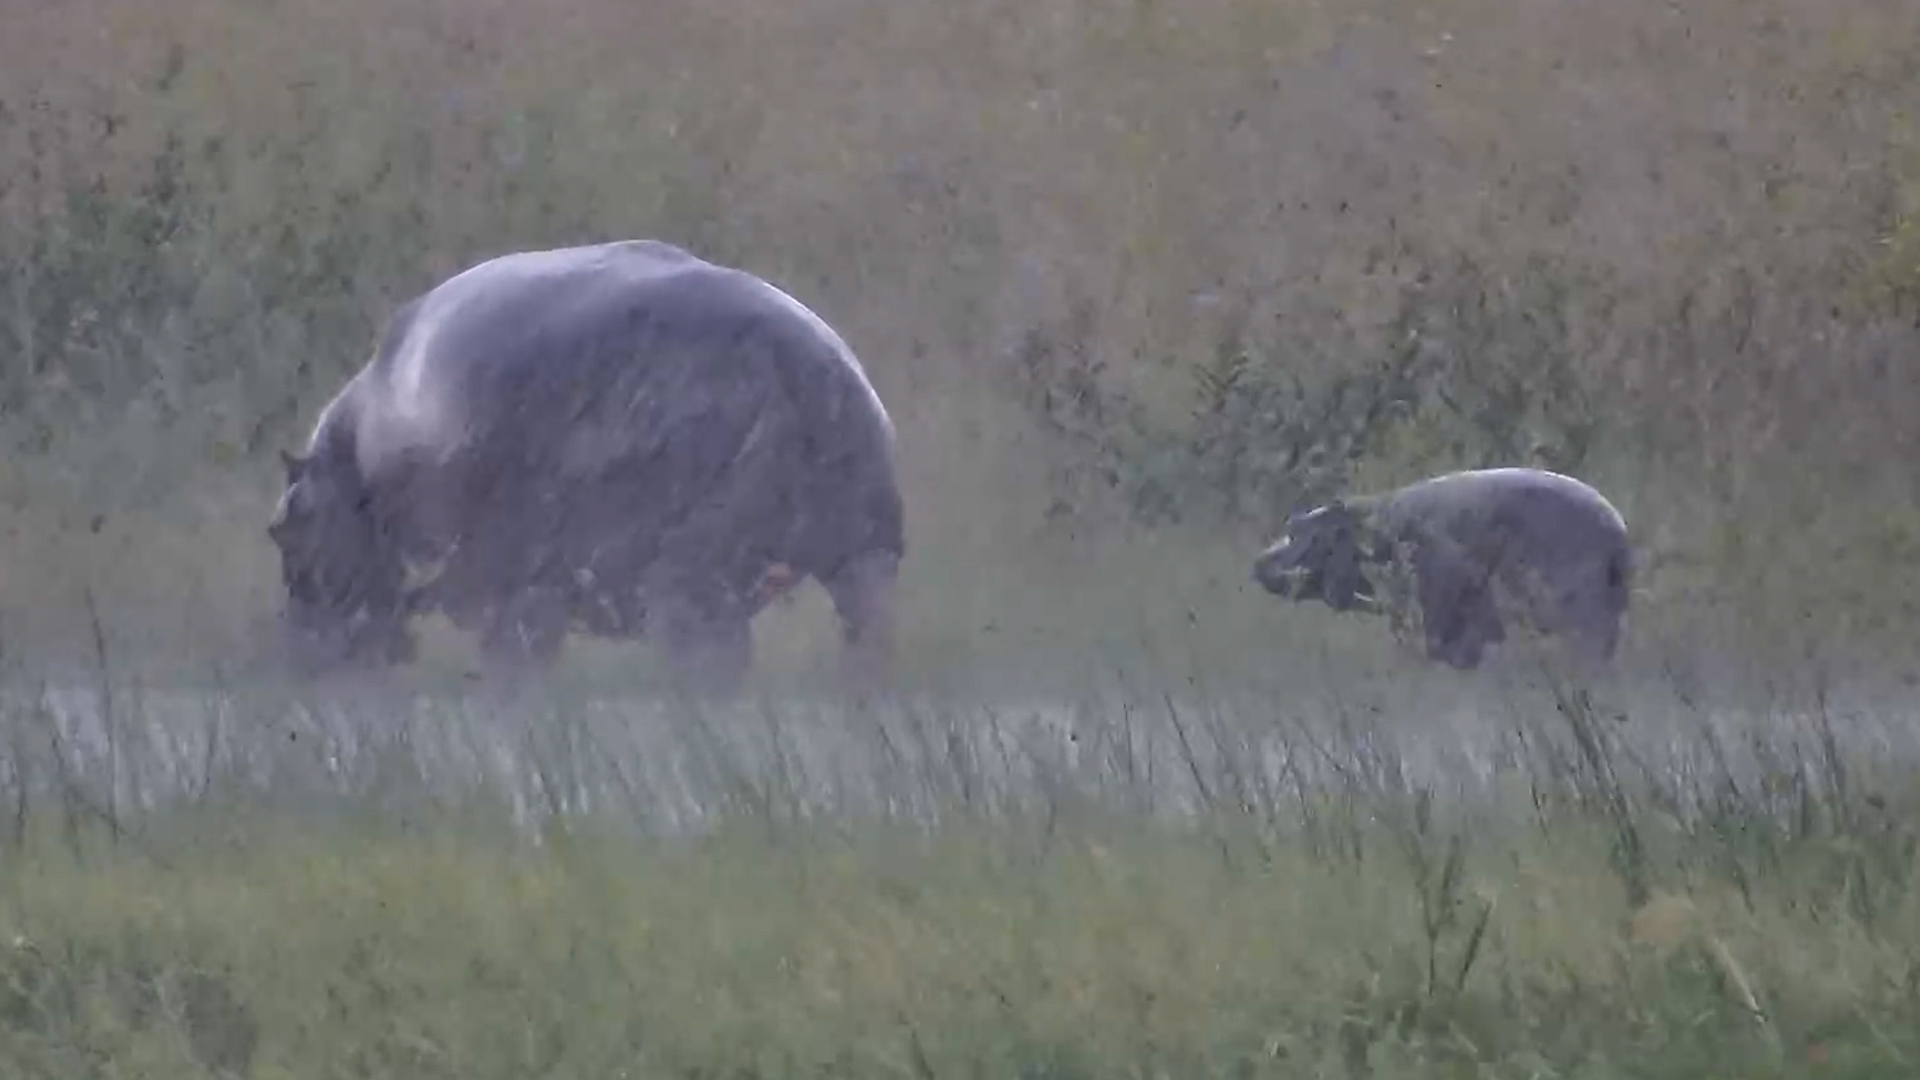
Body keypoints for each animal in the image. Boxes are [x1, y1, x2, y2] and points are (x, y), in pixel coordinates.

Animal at [267, 240, 905, 693]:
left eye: (279, 530)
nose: (289, 658)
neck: (348, 464)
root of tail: (808, 369)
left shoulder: (512, 575)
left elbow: (514, 649)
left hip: (692, 572)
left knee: (712, 655)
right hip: (864, 554)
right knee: (864, 633)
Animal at [1251, 467, 1632, 671]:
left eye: (1299, 531)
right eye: (1293, 522)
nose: (1259, 560)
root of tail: (1616, 529)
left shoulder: (1440, 613)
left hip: (1579, 614)